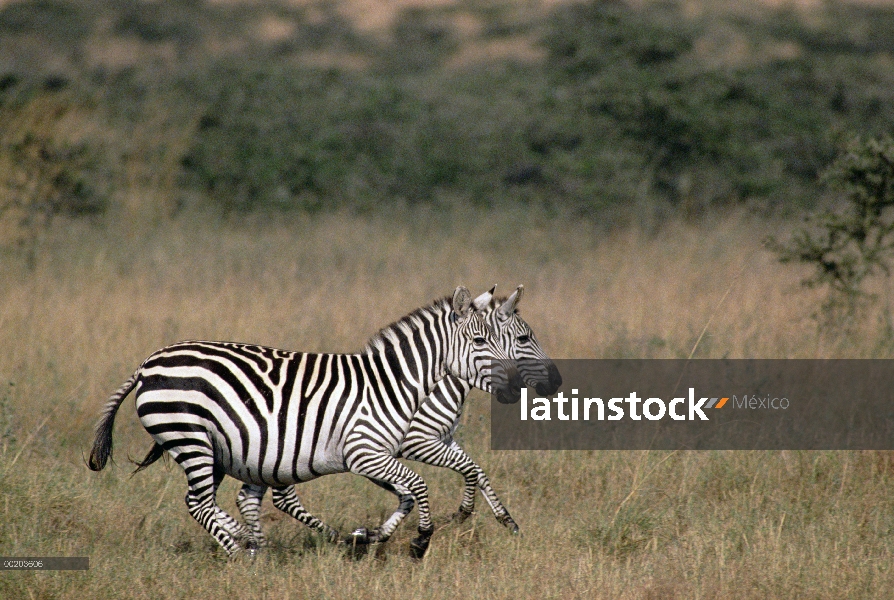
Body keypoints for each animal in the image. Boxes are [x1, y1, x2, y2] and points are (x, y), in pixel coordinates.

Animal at [87, 286, 520, 556]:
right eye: (480, 341)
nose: (516, 385)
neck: (390, 383)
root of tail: (147, 363)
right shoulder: (364, 452)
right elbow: (418, 485)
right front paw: (420, 542)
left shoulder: (379, 456)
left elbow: (411, 492)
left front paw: (371, 536)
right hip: (190, 438)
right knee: (199, 503)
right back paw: (241, 548)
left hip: (220, 449)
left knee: (217, 501)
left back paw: (252, 546)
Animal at [231, 284, 560, 552]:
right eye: (524, 337)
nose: (556, 382)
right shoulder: (415, 444)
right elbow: (459, 473)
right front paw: (458, 515)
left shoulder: (440, 441)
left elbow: (474, 471)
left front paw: (504, 518)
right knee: (280, 498)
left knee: (254, 494)